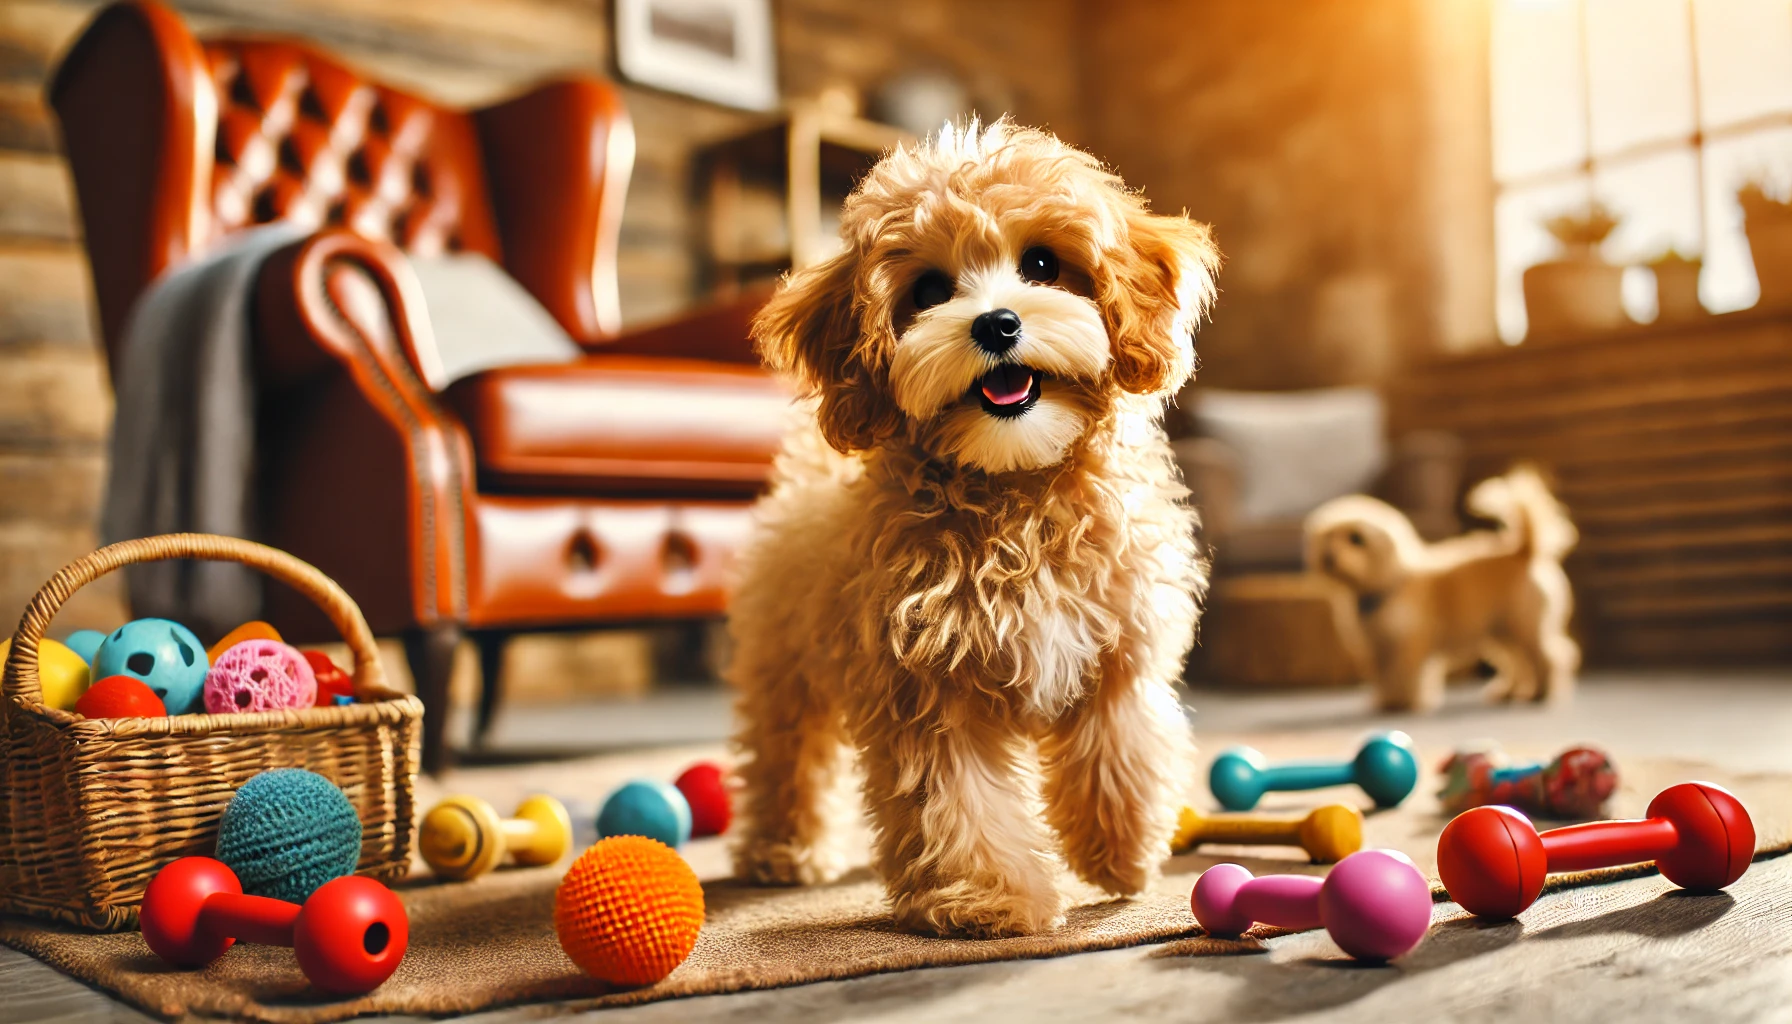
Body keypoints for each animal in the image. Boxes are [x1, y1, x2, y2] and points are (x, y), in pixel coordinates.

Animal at [723, 120, 1218, 939]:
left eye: (1043, 264)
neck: (1016, 493)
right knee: (785, 755)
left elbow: (1117, 752)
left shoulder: (1116, 648)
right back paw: (784, 850)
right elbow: (955, 799)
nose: (998, 322)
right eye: (928, 290)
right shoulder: (925, 684)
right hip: (784, 665)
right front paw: (986, 896)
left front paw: (1119, 854)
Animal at [1304, 466, 1584, 713]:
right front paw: (1387, 701)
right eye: (1327, 537)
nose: (1327, 558)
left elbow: (1404, 676)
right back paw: (1510, 692)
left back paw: (1542, 692)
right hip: (1503, 631)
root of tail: (1524, 551)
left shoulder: (1409, 643)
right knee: (1519, 663)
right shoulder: (1378, 649)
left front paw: (1404, 703)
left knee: (1552, 657)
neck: (1386, 588)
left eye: (1356, 539)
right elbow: (1386, 679)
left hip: (1525, 627)